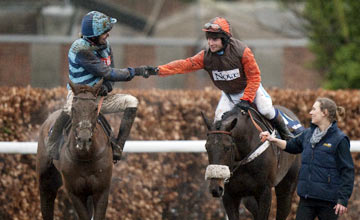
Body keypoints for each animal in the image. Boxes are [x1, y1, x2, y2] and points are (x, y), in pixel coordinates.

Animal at [36, 80, 112, 219]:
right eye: (73, 108)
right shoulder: (75, 192)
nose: (84, 139)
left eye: (95, 108)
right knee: (47, 199)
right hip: (45, 176)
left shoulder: (101, 189)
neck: (86, 156)